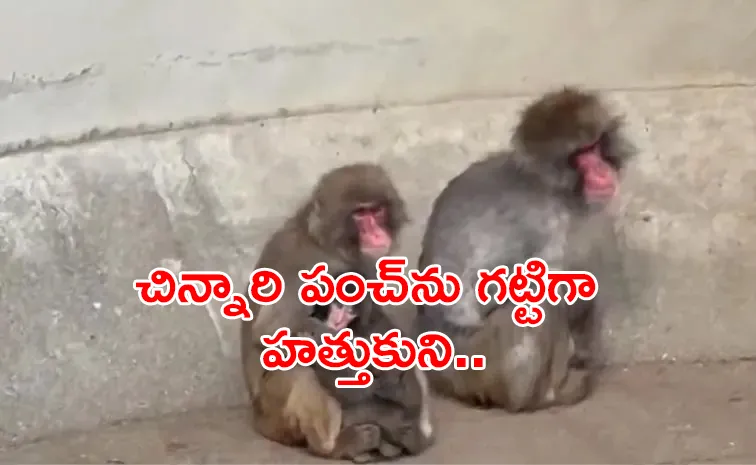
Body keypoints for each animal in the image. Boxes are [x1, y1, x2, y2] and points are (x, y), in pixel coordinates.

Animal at [240, 163, 435, 463]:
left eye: (377, 210)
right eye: (360, 214)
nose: (377, 234)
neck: (326, 243)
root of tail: (258, 419)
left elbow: (375, 319)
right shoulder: (307, 265)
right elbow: (272, 335)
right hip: (275, 416)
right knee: (299, 368)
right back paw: (335, 446)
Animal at [413, 86, 637, 411]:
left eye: (595, 147)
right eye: (581, 155)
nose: (602, 170)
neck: (554, 188)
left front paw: (586, 353)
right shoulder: (543, 222)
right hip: (480, 364)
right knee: (539, 298)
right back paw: (533, 398)